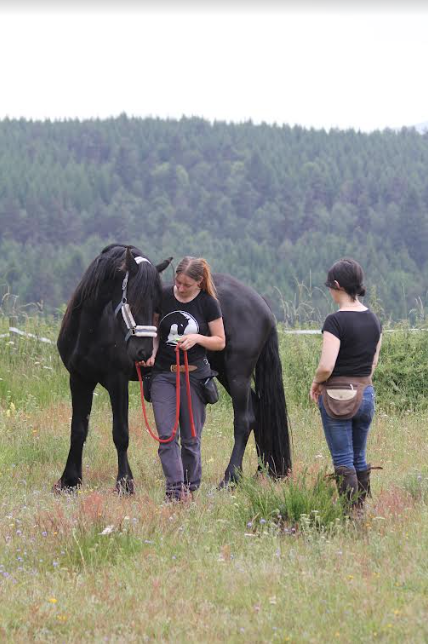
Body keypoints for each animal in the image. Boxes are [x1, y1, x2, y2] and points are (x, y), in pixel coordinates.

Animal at [55, 244, 291, 493]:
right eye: (133, 298)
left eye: (156, 301)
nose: (143, 352)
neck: (91, 329)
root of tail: (261, 303)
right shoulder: (79, 379)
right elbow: (78, 429)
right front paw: (69, 481)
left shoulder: (116, 381)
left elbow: (120, 433)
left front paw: (124, 484)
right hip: (227, 374)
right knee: (257, 412)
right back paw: (259, 471)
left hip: (238, 375)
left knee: (244, 421)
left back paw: (230, 479)